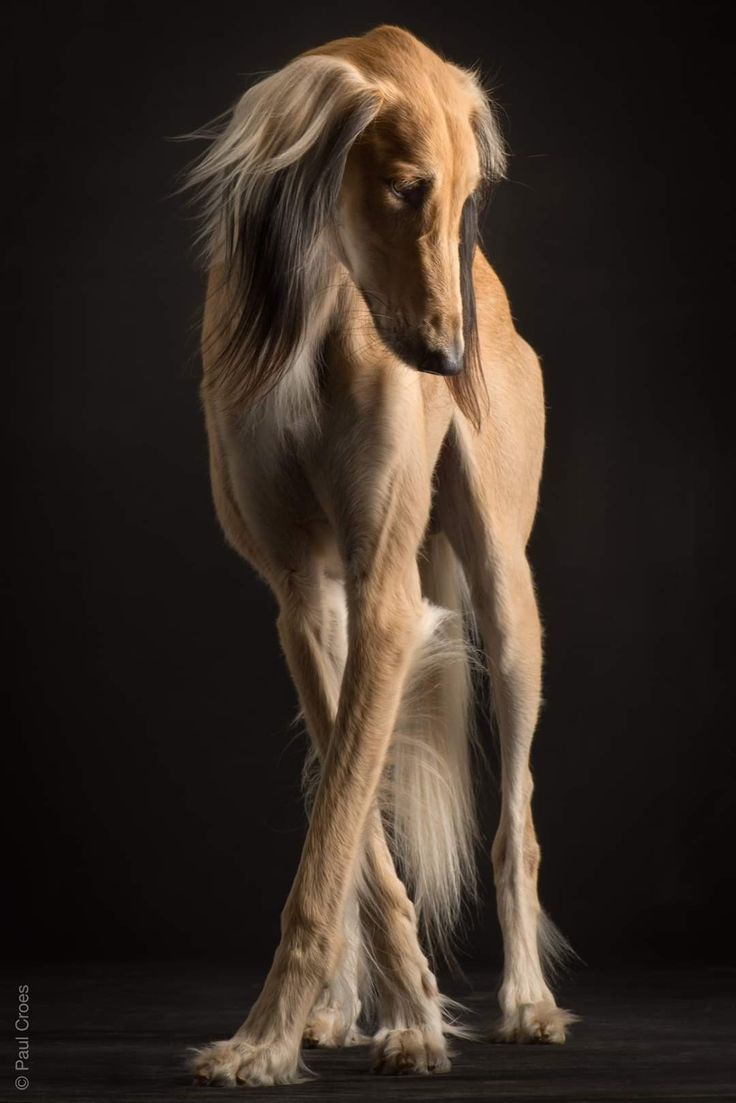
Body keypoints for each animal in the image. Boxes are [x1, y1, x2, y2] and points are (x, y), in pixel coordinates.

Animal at [184, 23, 573, 1085]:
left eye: (469, 195)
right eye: (405, 188)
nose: (450, 362)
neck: (323, 307)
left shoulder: (389, 598)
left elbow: (342, 836)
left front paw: (269, 1039)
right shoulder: (306, 598)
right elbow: (348, 828)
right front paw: (394, 1008)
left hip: (506, 603)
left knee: (515, 823)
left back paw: (527, 1001)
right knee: (353, 793)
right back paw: (350, 1007)